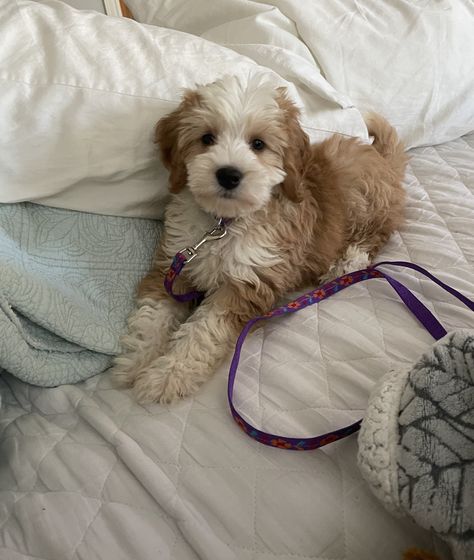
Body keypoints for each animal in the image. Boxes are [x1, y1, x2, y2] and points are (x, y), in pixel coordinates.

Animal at [112, 76, 408, 404]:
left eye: (258, 144)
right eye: (207, 138)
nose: (228, 175)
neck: (223, 225)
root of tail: (381, 159)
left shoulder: (246, 285)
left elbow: (203, 331)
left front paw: (168, 375)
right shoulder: (174, 264)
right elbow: (153, 315)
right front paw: (135, 362)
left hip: (362, 200)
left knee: (377, 233)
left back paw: (346, 264)